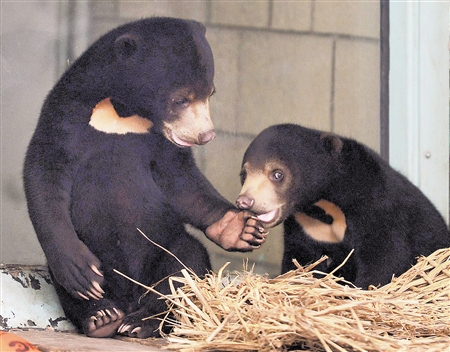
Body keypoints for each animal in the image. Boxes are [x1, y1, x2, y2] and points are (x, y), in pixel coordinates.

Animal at [23, 17, 268, 340]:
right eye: (180, 99)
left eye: (210, 93)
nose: (206, 135)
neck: (121, 111)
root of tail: (128, 298)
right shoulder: (63, 117)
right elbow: (43, 176)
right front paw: (80, 269)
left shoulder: (161, 148)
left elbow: (181, 183)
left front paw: (240, 228)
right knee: (68, 285)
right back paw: (101, 315)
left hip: (164, 246)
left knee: (182, 267)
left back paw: (140, 321)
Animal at [236, 124, 450, 288]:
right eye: (244, 175)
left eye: (277, 174)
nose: (245, 200)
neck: (324, 203)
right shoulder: (307, 226)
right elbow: (302, 257)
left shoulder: (377, 206)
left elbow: (385, 255)